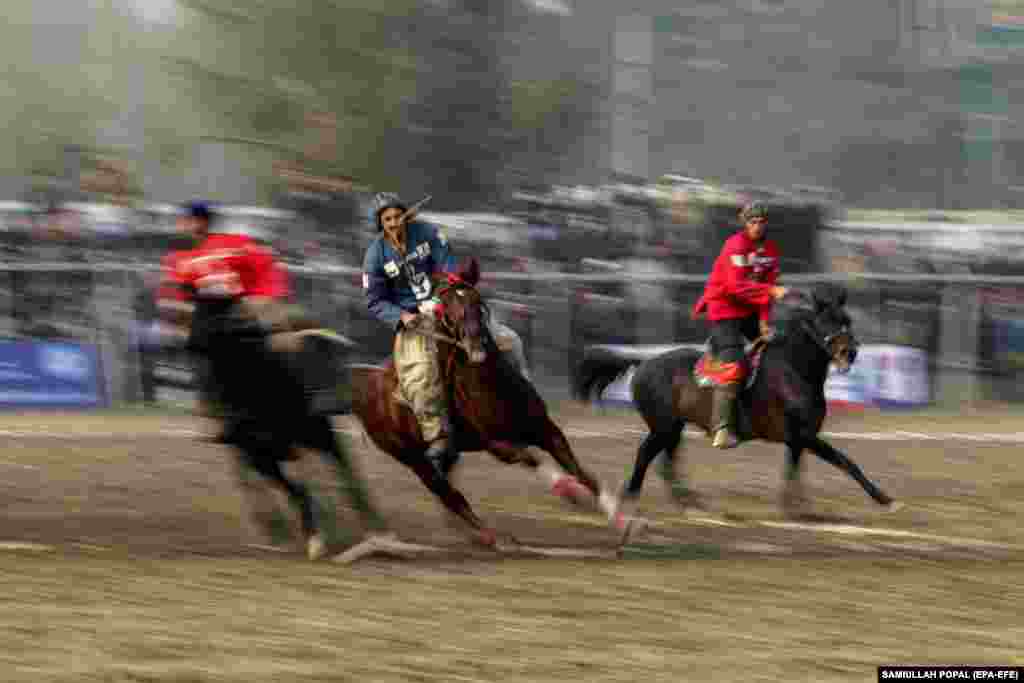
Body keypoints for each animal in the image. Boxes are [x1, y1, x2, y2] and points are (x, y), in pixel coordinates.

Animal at [189, 294, 387, 561]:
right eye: (199, 311)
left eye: (338, 363)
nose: (332, 402)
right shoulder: (257, 453)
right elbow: (295, 489)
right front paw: (313, 538)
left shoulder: (318, 437)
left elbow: (344, 477)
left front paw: (374, 533)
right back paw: (282, 529)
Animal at [348, 259, 614, 548]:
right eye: (447, 309)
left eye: (478, 302)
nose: (475, 346)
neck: (493, 390)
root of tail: (365, 388)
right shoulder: (498, 445)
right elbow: (532, 459)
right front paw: (571, 492)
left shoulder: (545, 428)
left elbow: (579, 469)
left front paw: (617, 515)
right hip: (413, 459)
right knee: (450, 495)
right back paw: (493, 536)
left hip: (445, 454)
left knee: (449, 489)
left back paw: (473, 534)